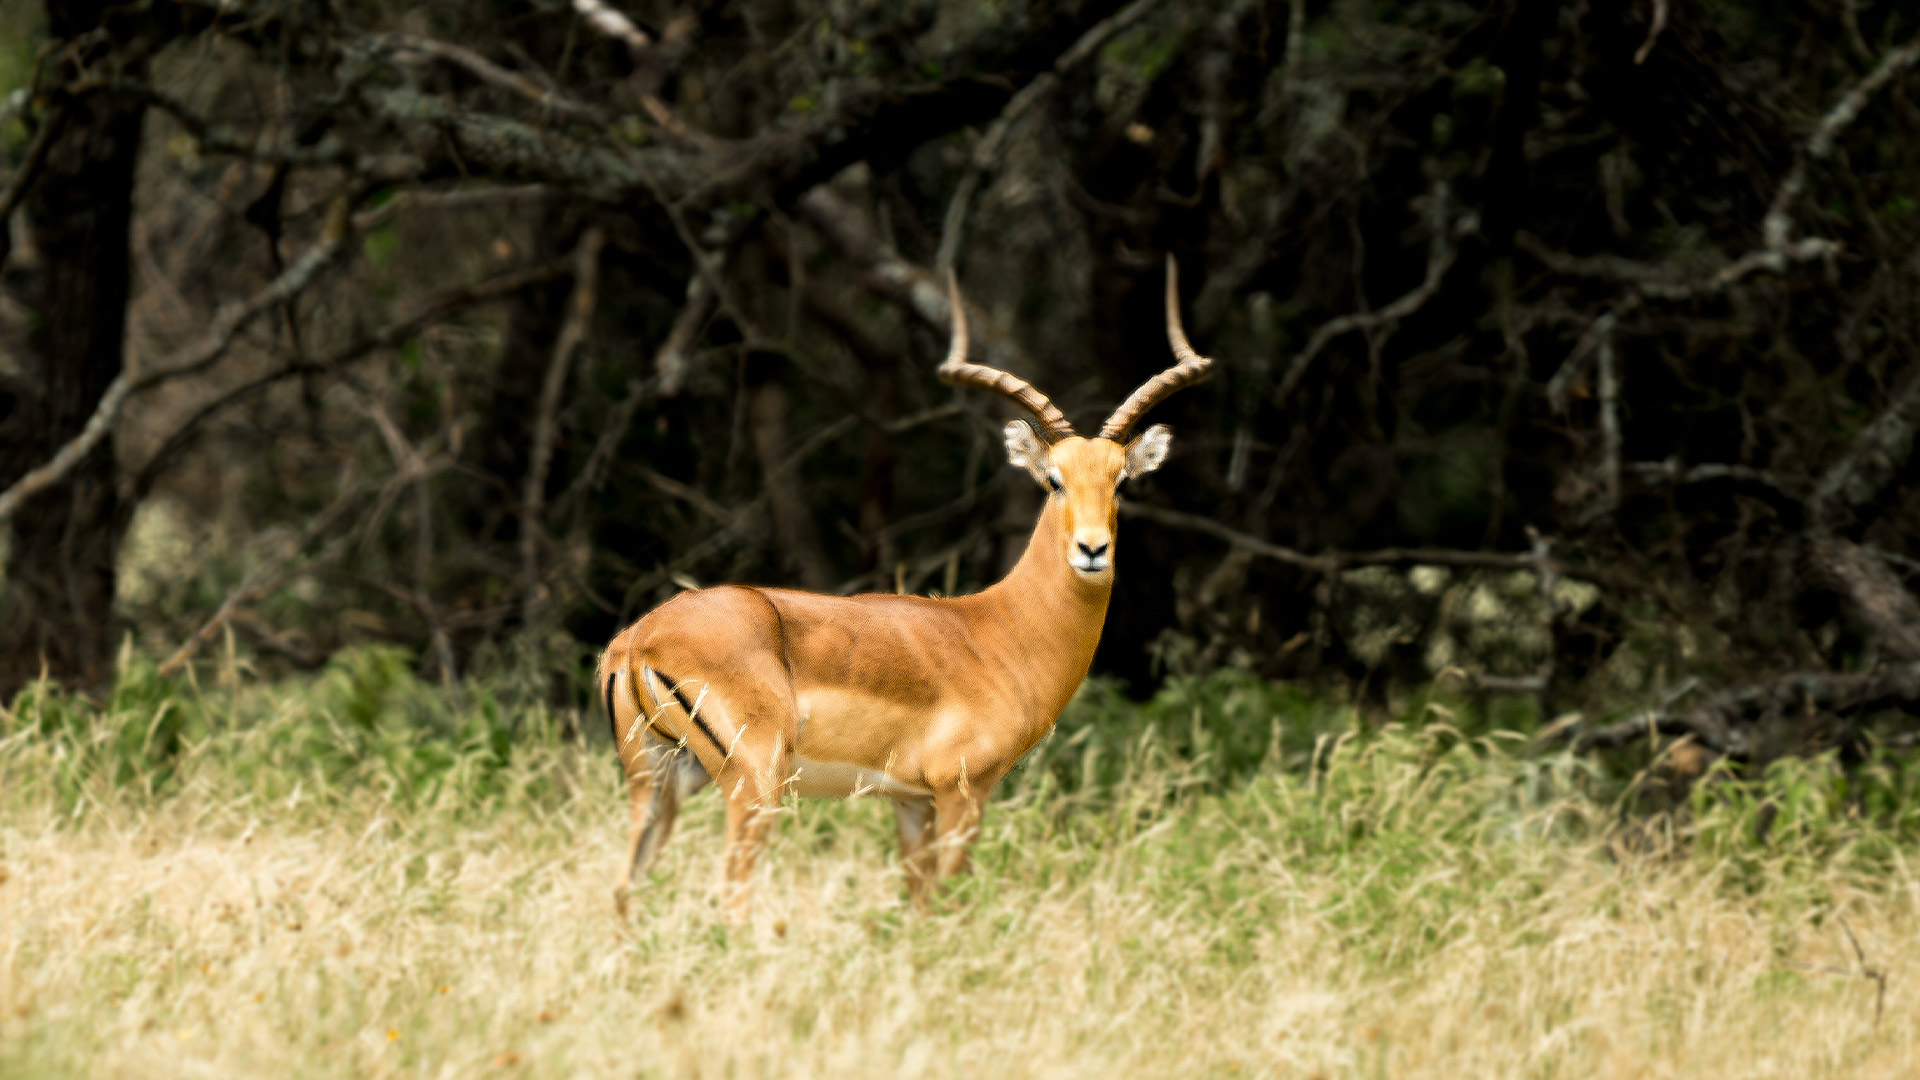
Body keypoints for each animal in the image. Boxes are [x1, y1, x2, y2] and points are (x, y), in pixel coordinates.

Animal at [598, 258, 1213, 921]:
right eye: (1054, 479)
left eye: (1120, 481)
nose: (1093, 550)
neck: (1001, 631)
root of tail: (638, 640)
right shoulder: (963, 790)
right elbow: (951, 899)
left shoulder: (910, 800)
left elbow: (919, 904)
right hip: (753, 783)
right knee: (730, 898)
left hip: (658, 781)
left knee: (624, 890)